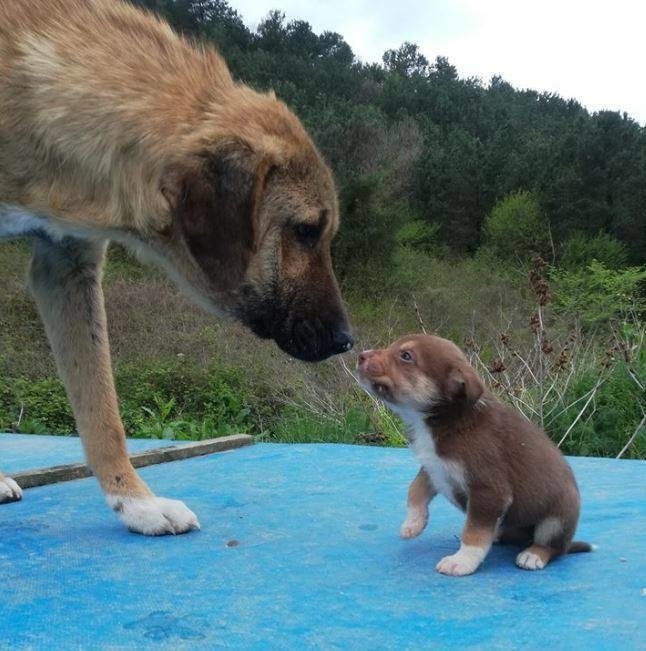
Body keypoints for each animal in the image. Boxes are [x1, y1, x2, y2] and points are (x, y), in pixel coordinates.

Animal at [356, 336, 596, 576]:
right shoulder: (433, 467)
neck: (445, 418)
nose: (360, 355)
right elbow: (415, 490)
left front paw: (461, 561)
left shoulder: (488, 491)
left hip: (557, 519)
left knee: (554, 547)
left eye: (406, 356)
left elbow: (474, 533)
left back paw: (533, 555)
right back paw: (499, 535)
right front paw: (413, 524)